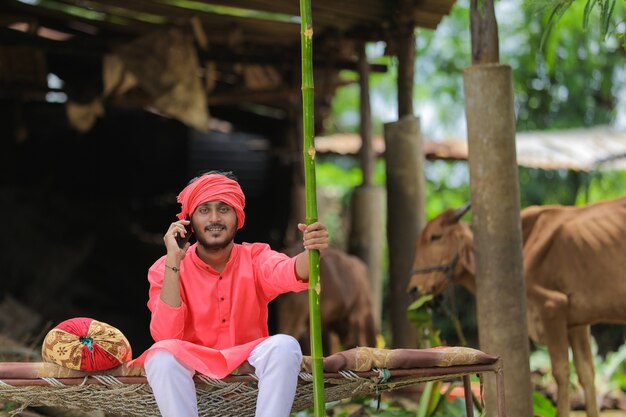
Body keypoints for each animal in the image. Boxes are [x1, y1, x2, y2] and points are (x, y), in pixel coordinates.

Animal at [408, 197, 624, 416]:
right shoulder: (577, 323)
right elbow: (587, 374)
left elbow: (561, 372)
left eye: (435, 237)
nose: (413, 289)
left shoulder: (552, 307)